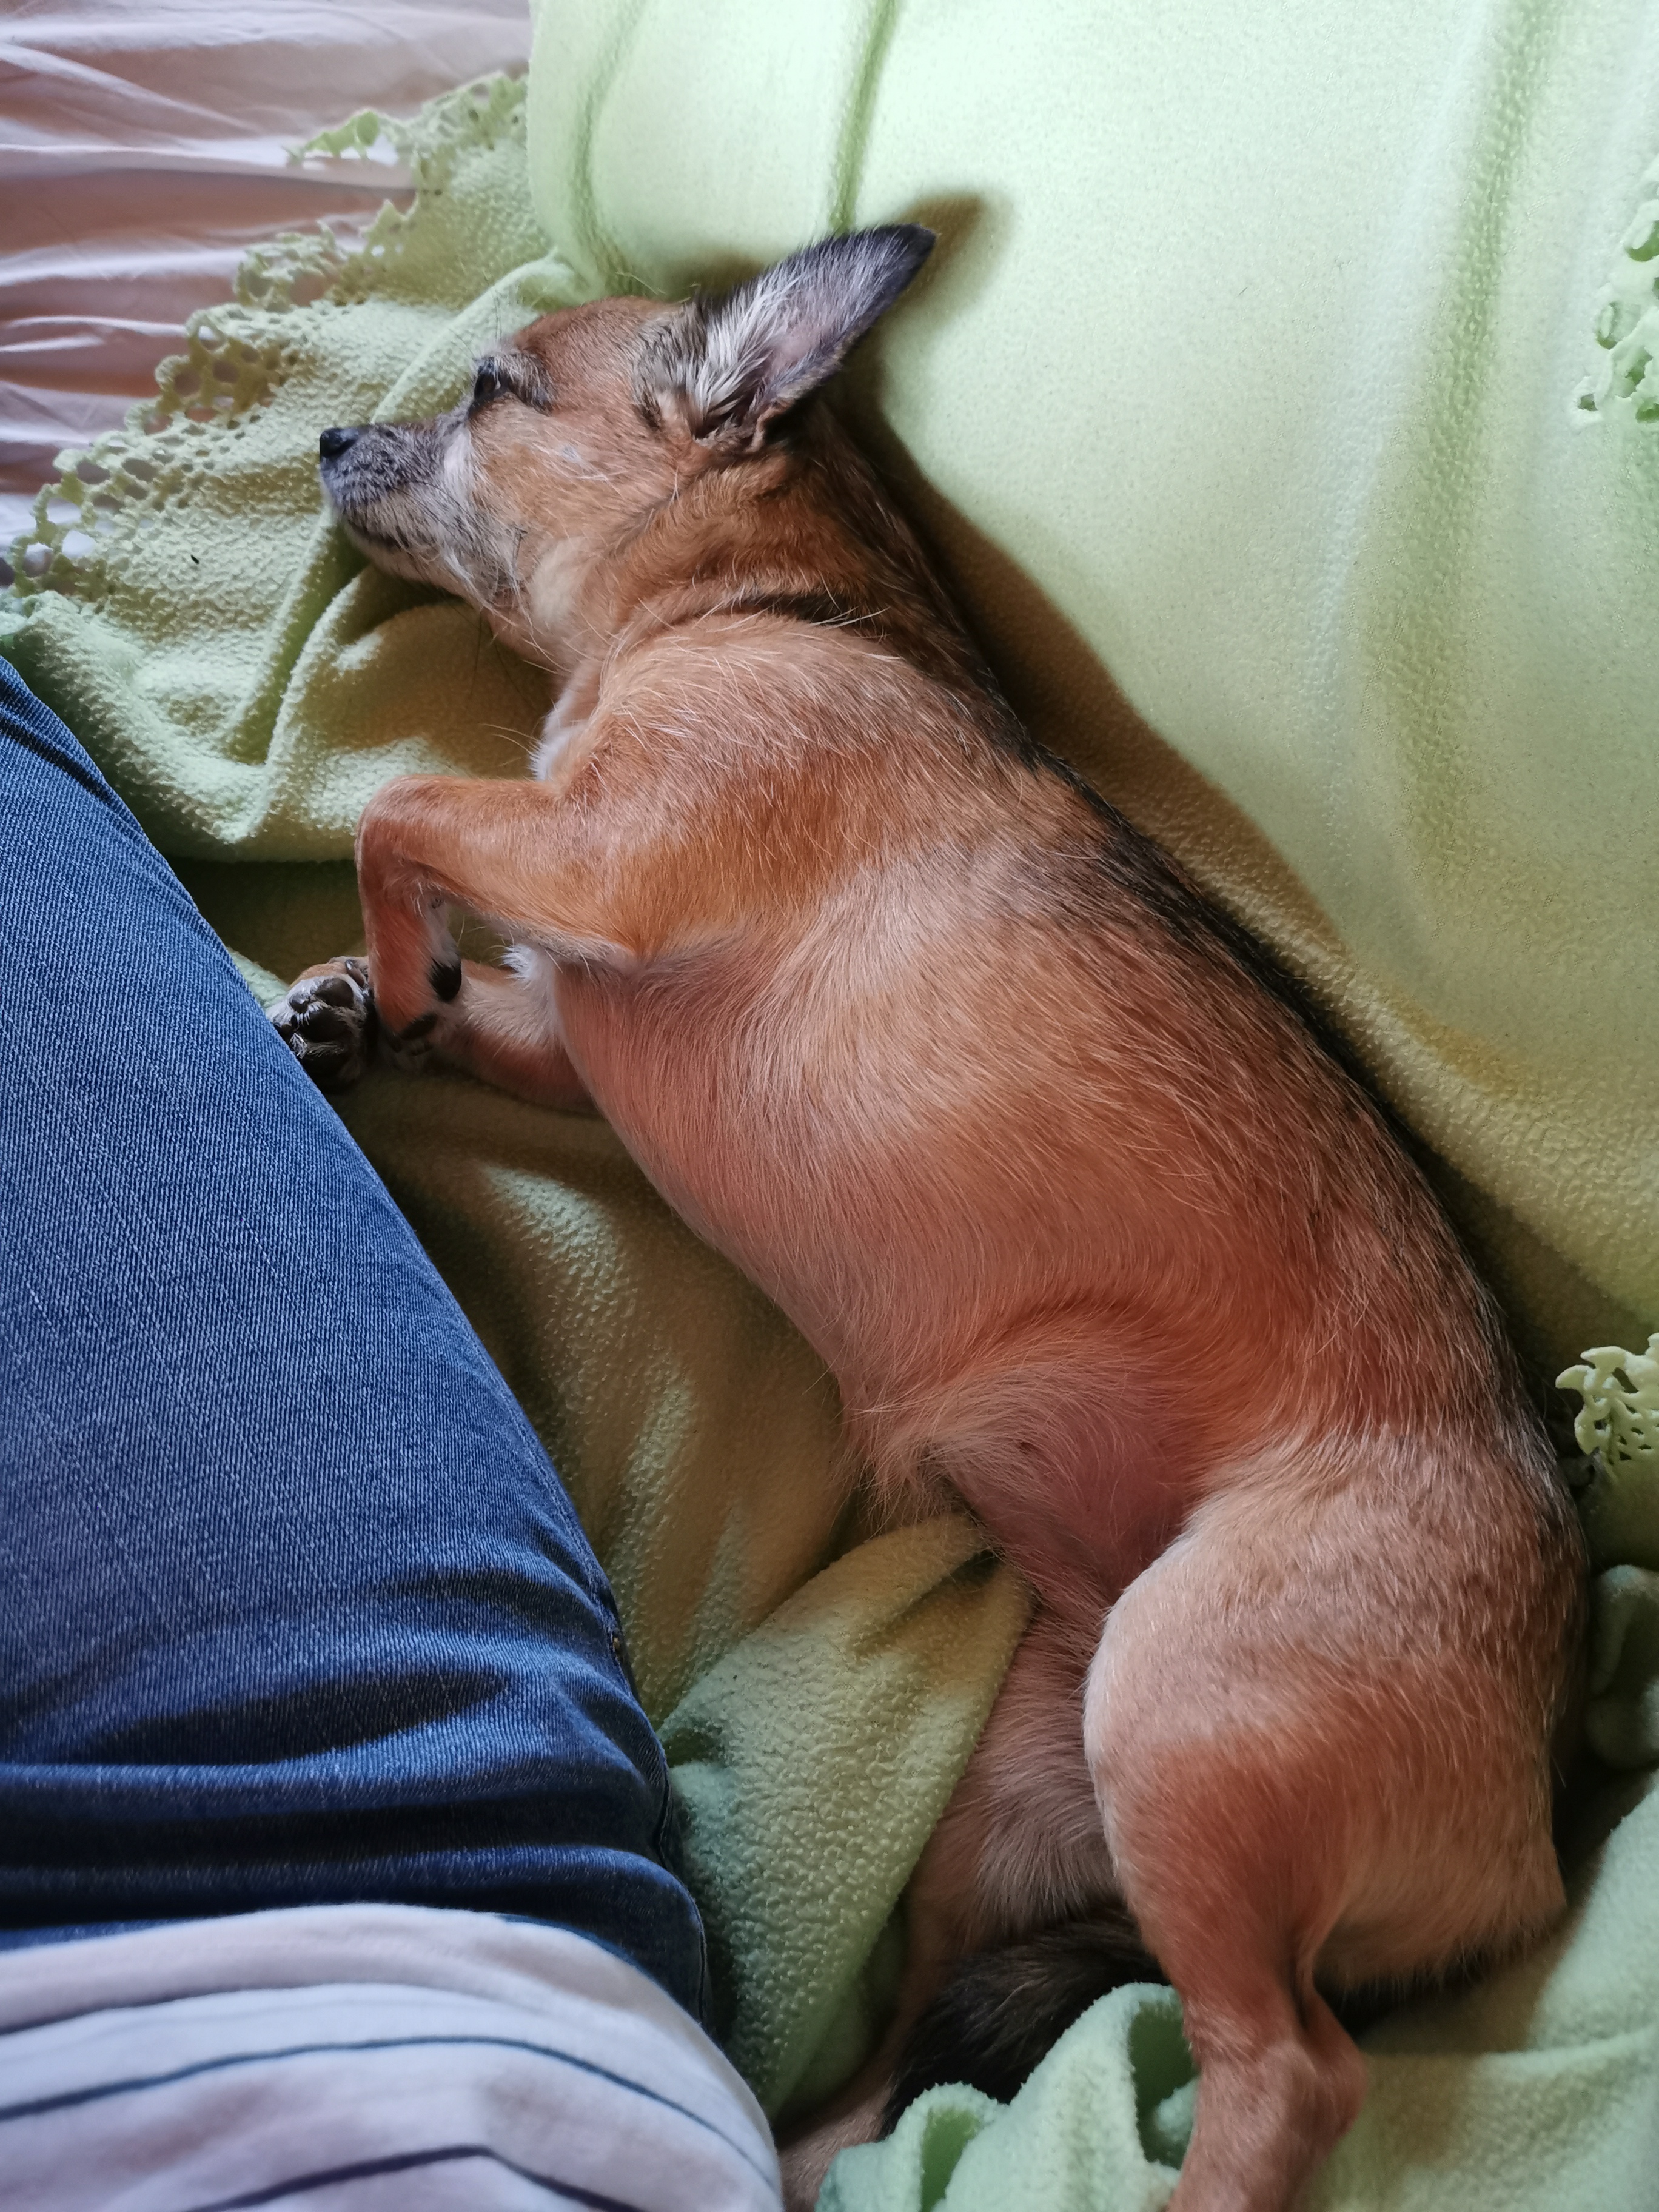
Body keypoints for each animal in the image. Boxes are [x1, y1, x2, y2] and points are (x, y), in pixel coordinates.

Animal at [274, 226, 1584, 2211]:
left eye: (496, 391)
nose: (339, 436)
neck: (751, 612)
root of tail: (1546, 1818)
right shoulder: (574, 1027)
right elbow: (471, 953)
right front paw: (368, 1005)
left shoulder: (606, 862)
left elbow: (405, 806)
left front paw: (401, 957)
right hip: (1020, 1798)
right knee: (916, 2065)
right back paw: (807, 2150)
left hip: (1178, 1719)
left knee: (1280, 2072)